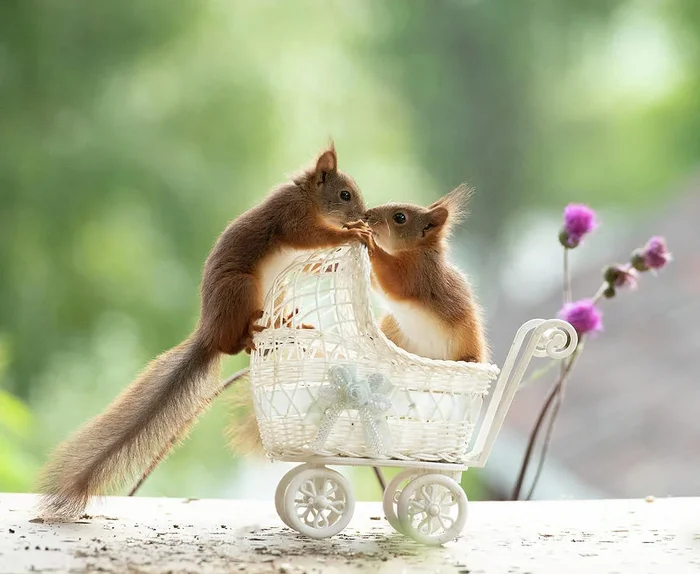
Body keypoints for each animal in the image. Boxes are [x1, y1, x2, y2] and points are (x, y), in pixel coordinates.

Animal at [37, 143, 373, 518]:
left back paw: (291, 323)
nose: (365, 214)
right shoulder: (291, 217)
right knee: (232, 345)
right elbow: (311, 236)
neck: (308, 197)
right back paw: (252, 331)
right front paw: (353, 233)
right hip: (241, 287)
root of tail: (209, 332)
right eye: (345, 195)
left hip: (275, 293)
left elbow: (318, 261)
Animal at [364, 184, 488, 363]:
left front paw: (370, 241)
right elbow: (376, 283)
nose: (367, 214)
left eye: (400, 217)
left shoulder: (419, 273)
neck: (418, 249)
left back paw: (471, 360)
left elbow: (395, 282)